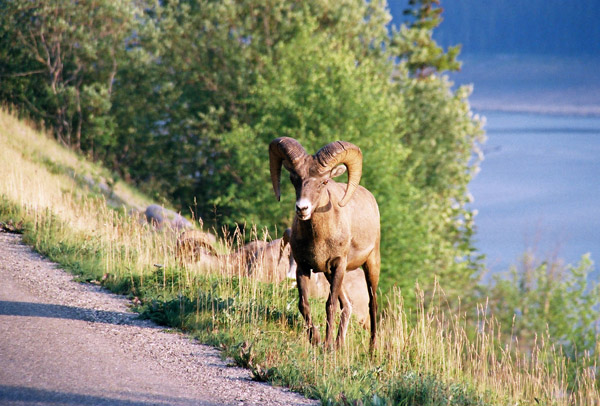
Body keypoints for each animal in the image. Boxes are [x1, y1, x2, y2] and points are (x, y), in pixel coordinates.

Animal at [270, 136, 382, 348]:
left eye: (324, 181)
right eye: (294, 179)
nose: (302, 208)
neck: (318, 238)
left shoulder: (338, 265)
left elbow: (330, 305)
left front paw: (327, 346)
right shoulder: (303, 268)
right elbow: (303, 304)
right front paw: (316, 340)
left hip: (370, 265)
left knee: (372, 305)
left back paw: (371, 350)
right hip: (330, 274)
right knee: (347, 305)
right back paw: (339, 345)